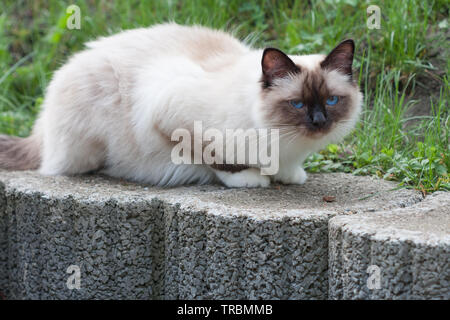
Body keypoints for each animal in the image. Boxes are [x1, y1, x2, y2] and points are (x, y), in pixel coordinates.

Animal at [0, 23, 362, 188]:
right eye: (297, 104)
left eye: (331, 100)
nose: (319, 122)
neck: (285, 143)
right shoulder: (172, 114)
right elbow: (216, 159)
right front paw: (252, 178)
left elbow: (286, 169)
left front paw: (288, 175)